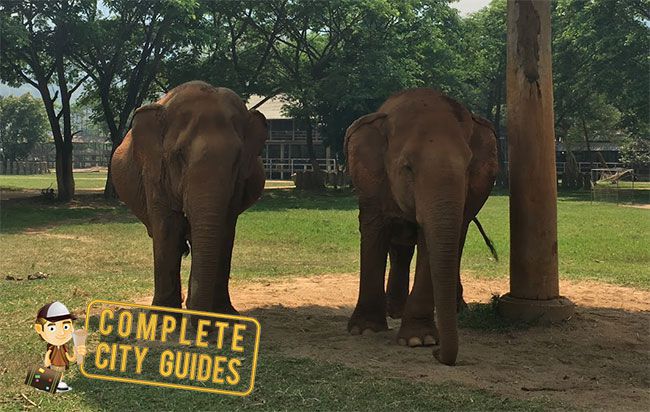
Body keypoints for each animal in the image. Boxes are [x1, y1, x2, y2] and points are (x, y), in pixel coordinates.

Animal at [111, 81, 268, 315]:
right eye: (179, 156)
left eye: (237, 160)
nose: (193, 307)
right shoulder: (155, 172)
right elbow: (167, 229)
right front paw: (162, 317)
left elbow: (225, 231)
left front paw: (224, 314)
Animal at [344, 88, 498, 365]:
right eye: (407, 167)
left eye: (468, 168)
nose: (438, 354)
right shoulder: (372, 186)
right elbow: (374, 232)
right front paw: (365, 330)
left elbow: (431, 244)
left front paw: (419, 340)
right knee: (400, 250)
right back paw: (395, 310)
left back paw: (456, 309)